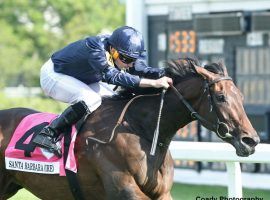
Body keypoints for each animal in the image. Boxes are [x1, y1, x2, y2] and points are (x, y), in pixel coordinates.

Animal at [0, 57, 260, 198]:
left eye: (241, 96)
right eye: (221, 98)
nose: (251, 141)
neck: (141, 130)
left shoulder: (162, 193)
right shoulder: (124, 188)